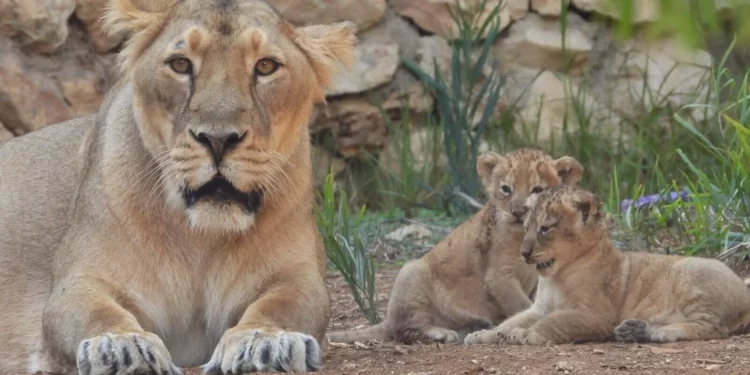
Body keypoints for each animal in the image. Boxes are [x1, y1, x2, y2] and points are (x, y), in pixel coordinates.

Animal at [0, 1, 356, 374]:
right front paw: (120, 347)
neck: (201, 239)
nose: (218, 139)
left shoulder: (299, 277)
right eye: (180, 64)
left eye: (266, 66)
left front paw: (265, 342)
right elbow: (96, 312)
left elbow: (282, 307)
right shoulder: (80, 281)